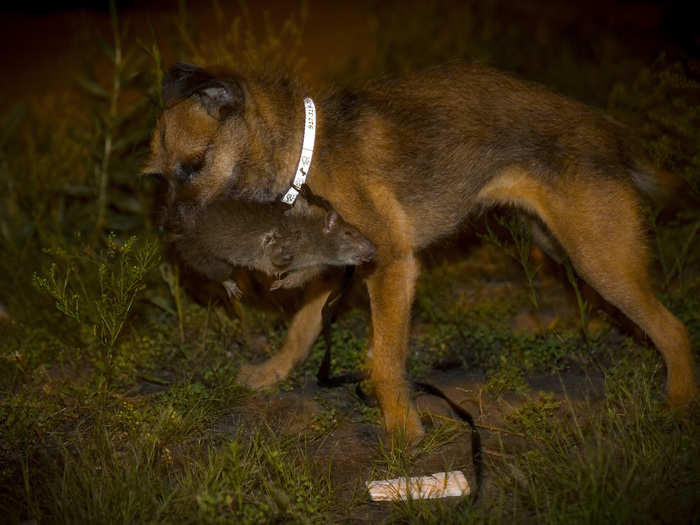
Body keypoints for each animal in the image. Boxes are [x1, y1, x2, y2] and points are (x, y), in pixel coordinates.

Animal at [145, 60, 696, 438]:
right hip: (559, 245)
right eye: (158, 177)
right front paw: (273, 371)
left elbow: (386, 361)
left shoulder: (389, 264)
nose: (171, 234)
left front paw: (403, 434)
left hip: (598, 259)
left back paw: (679, 405)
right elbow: (301, 328)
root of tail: (605, 127)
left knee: (674, 328)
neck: (301, 153)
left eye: (194, 165)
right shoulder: (336, 262)